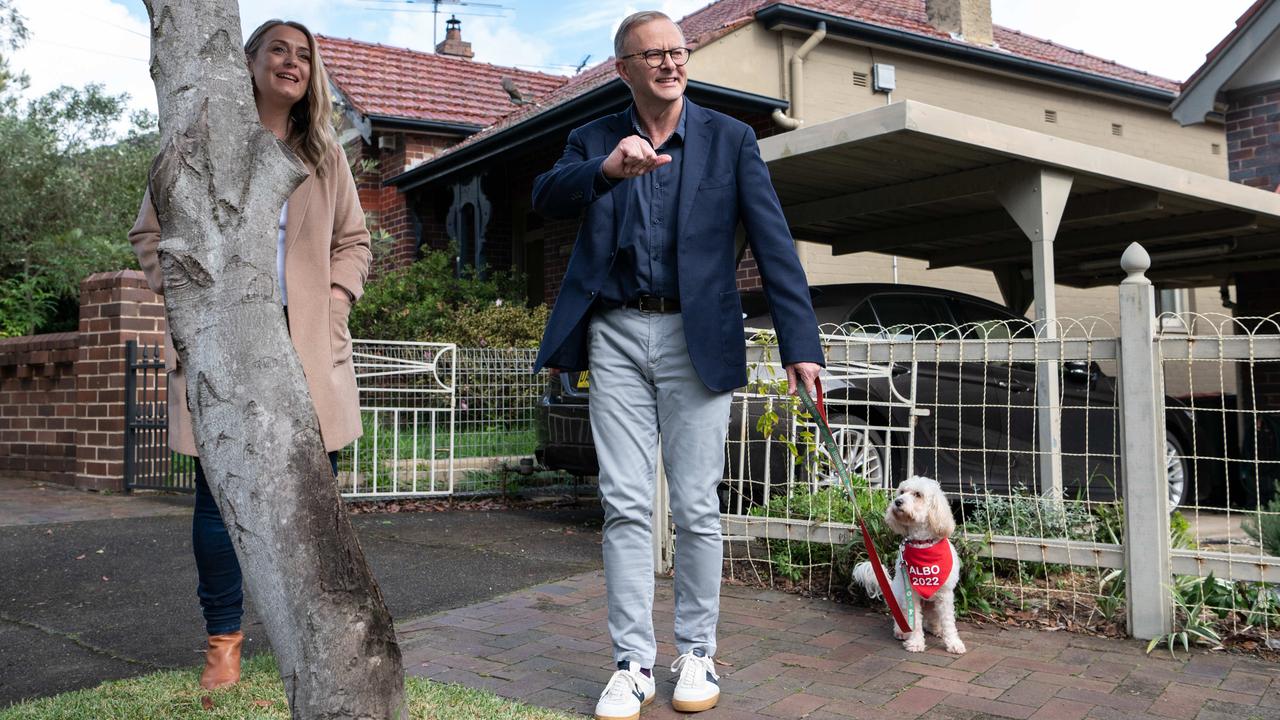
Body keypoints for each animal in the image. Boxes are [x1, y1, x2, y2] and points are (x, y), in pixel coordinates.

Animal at [855, 474, 962, 653]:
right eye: (902, 491)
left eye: (918, 494)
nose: (897, 502)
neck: (922, 543)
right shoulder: (910, 594)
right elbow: (915, 621)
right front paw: (916, 643)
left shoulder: (946, 594)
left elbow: (948, 622)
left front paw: (954, 643)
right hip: (900, 598)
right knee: (902, 619)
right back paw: (902, 632)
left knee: (932, 621)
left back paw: (937, 629)